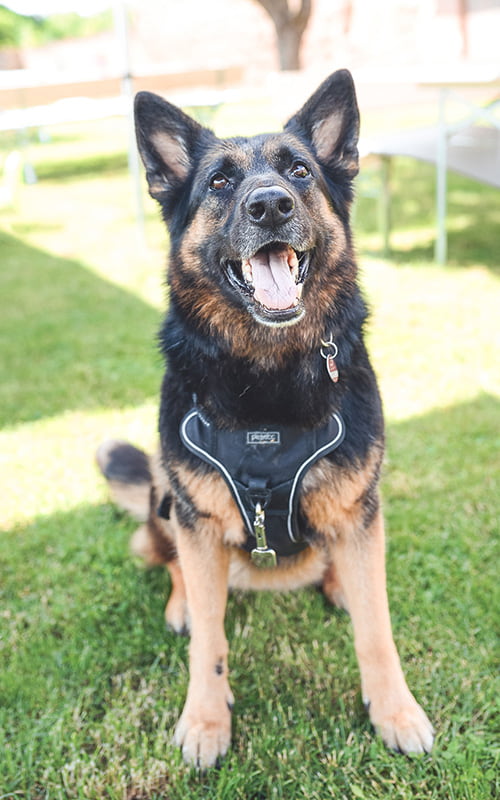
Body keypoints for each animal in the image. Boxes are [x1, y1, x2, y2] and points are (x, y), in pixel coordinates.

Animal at [95, 70, 432, 768]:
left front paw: (394, 711)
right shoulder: (196, 515)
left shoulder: (360, 510)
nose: (271, 206)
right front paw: (205, 721)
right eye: (219, 182)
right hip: (168, 492)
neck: (266, 377)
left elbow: (377, 628)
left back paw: (336, 584)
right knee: (170, 561)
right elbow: (210, 642)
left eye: (299, 170)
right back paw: (183, 603)